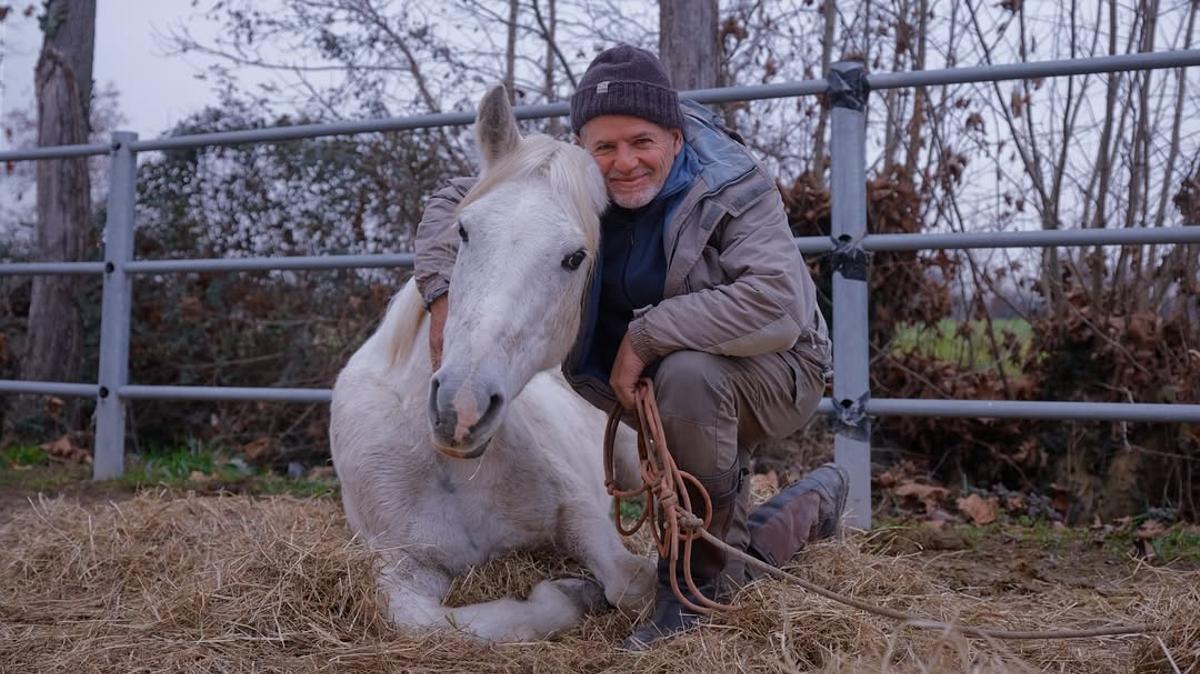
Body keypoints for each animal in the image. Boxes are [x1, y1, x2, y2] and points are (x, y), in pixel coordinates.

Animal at [329, 85, 656, 642]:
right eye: (463, 230)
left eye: (575, 257)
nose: (462, 408)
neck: (451, 467)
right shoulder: (399, 567)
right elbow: (428, 623)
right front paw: (570, 592)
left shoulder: (581, 514)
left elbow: (632, 583)